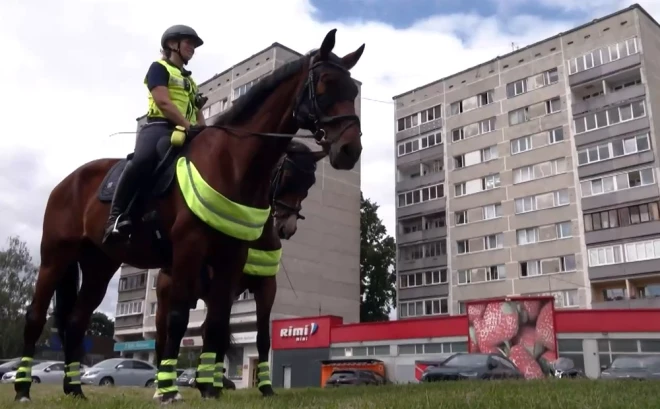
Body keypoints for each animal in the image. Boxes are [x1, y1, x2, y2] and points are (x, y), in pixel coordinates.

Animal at [152, 140, 322, 398]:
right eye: (287, 176)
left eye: (309, 183)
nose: (287, 227)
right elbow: (218, 331)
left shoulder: (264, 287)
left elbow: (261, 338)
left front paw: (266, 388)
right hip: (166, 298)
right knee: (163, 336)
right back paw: (163, 389)